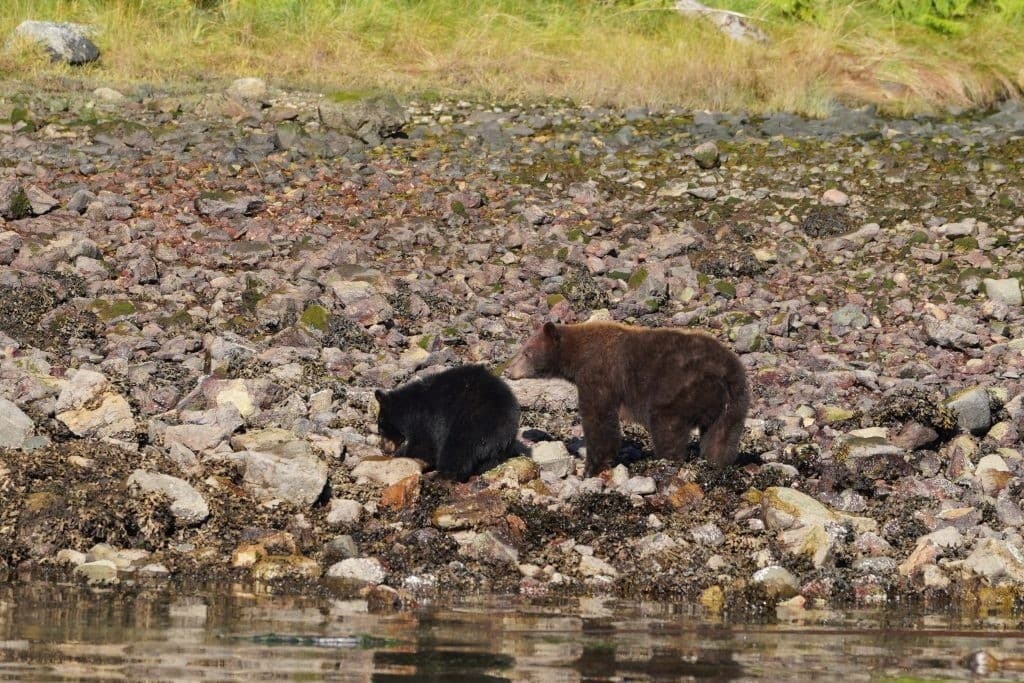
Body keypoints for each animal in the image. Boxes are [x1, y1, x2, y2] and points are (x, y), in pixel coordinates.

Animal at [374, 364, 521, 483]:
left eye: (381, 427)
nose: (382, 448)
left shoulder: (427, 419)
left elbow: (423, 445)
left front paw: (401, 454)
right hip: (498, 445)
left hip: (469, 424)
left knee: (455, 452)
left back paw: (438, 476)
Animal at [506, 321, 749, 477]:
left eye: (526, 352)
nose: (509, 370)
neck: (577, 358)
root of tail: (727, 372)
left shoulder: (599, 373)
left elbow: (598, 418)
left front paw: (592, 467)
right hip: (735, 403)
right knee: (721, 437)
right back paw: (716, 462)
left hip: (679, 389)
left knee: (667, 427)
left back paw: (666, 460)